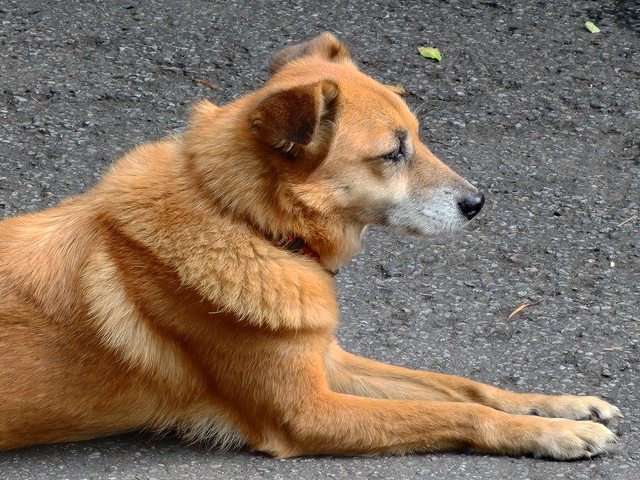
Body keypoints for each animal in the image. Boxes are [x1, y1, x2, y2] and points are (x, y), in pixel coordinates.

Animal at [0, 33, 622, 459]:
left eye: (418, 138)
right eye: (393, 152)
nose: (478, 202)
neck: (245, 222)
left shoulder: (325, 360)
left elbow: (463, 387)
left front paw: (564, 405)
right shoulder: (307, 412)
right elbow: (452, 412)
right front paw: (556, 432)